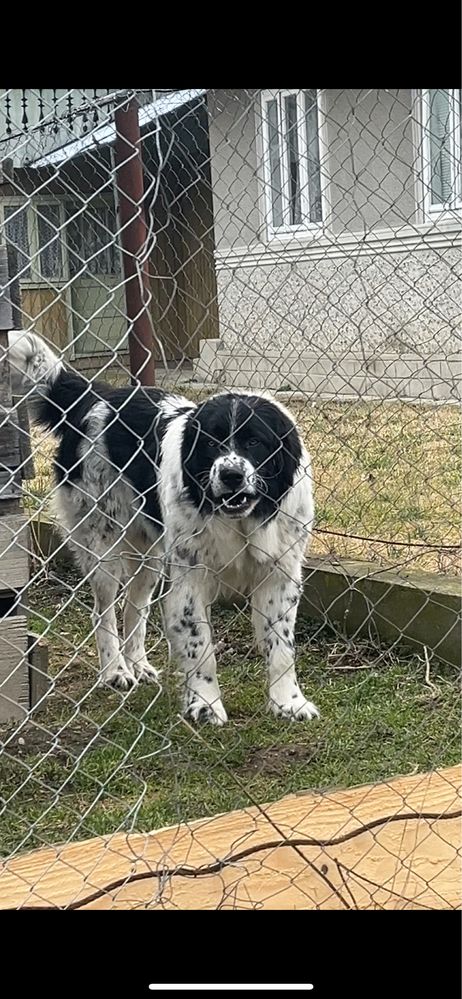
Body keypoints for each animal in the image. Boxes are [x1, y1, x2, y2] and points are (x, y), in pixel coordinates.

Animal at [8, 334, 318, 728]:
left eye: (254, 442)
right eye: (210, 443)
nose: (231, 475)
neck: (240, 522)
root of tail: (98, 396)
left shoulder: (279, 578)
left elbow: (281, 648)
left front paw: (287, 702)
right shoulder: (190, 581)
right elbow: (200, 647)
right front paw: (205, 703)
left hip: (149, 558)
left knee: (134, 609)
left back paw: (138, 665)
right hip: (104, 547)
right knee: (103, 612)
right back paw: (115, 671)